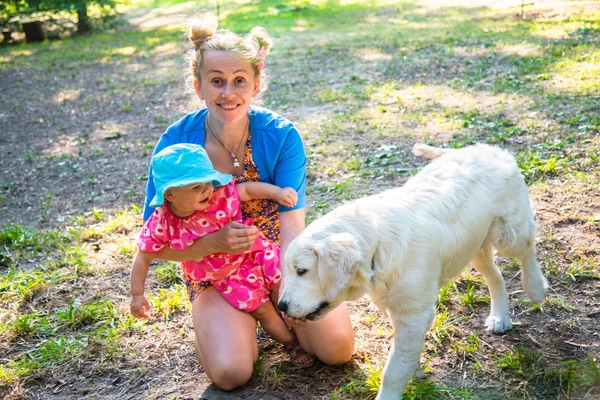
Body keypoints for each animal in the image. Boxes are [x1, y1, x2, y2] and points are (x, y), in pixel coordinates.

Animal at [278, 144, 548, 400]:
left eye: (302, 270)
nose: (280, 306)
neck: (378, 245)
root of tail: (486, 148)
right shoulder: (398, 308)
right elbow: (404, 355)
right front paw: (415, 369)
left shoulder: (413, 313)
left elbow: (394, 370)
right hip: (474, 245)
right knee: (496, 277)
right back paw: (500, 317)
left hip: (508, 233)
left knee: (528, 248)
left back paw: (536, 288)